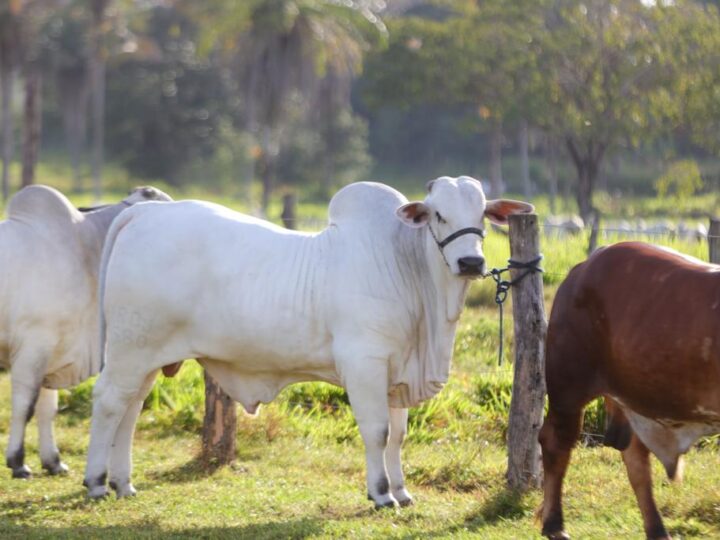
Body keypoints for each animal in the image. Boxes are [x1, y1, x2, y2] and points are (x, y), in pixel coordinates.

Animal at [0, 185, 172, 476]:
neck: (85, 248)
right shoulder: (33, 346)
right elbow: (25, 406)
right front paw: (17, 461)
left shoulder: (53, 352)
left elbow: (48, 408)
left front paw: (53, 461)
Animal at [86, 177, 536, 506]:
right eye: (438, 215)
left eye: (481, 214)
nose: (471, 262)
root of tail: (144, 213)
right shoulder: (365, 364)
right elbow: (377, 432)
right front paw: (381, 494)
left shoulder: (397, 374)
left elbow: (399, 434)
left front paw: (403, 491)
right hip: (130, 349)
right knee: (108, 403)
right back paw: (96, 482)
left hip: (145, 357)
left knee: (130, 410)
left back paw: (123, 483)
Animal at [540, 244, 720, 540]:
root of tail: (584, 266)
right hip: (567, 388)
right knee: (555, 443)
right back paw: (554, 525)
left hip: (635, 398)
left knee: (636, 460)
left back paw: (657, 530)